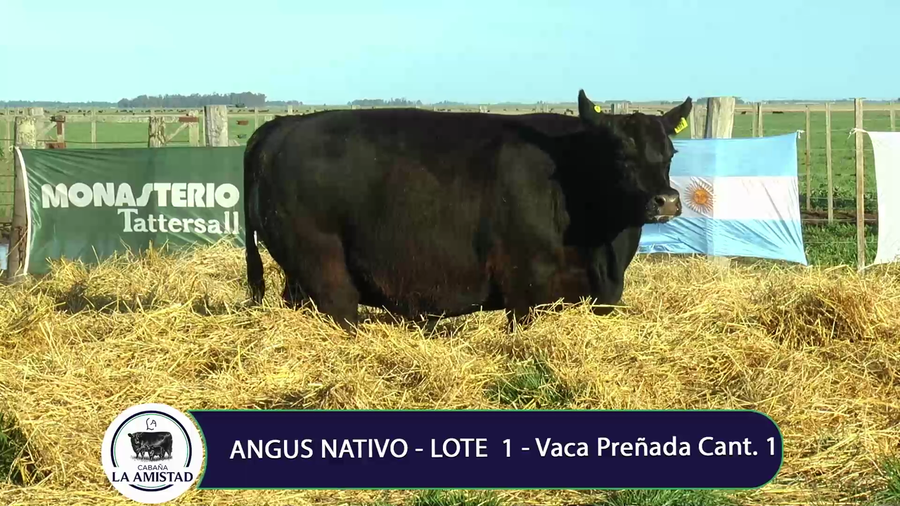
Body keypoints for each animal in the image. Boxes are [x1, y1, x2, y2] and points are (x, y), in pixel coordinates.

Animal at [243, 89, 690, 333]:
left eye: (671, 152)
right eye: (620, 153)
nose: (666, 200)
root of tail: (284, 126)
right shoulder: (525, 286)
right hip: (324, 269)